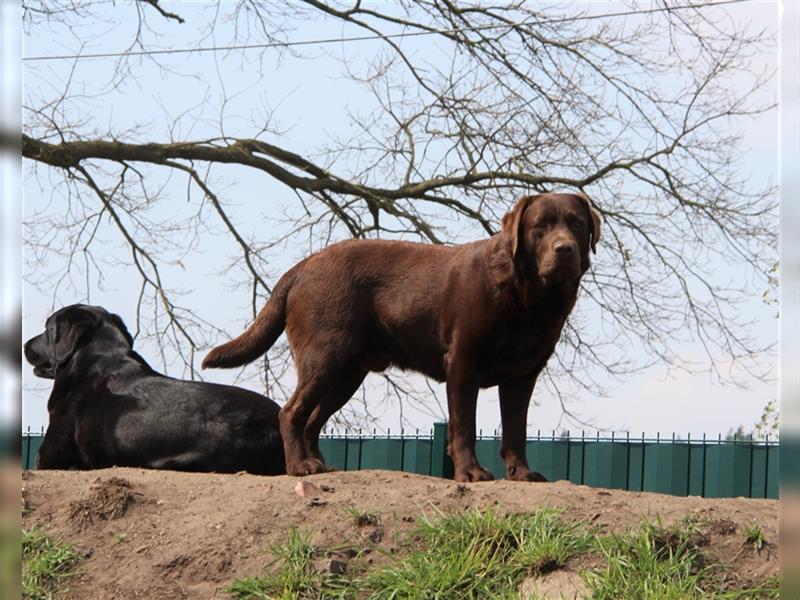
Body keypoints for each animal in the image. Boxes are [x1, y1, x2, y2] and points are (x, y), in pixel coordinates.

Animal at [205, 193, 600, 482]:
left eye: (577, 224)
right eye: (541, 226)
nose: (564, 249)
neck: (528, 297)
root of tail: (303, 265)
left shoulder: (523, 375)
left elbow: (516, 429)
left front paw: (522, 473)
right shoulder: (462, 362)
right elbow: (464, 426)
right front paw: (470, 473)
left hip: (347, 372)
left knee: (313, 419)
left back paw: (318, 464)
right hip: (324, 356)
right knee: (290, 412)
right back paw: (299, 468)